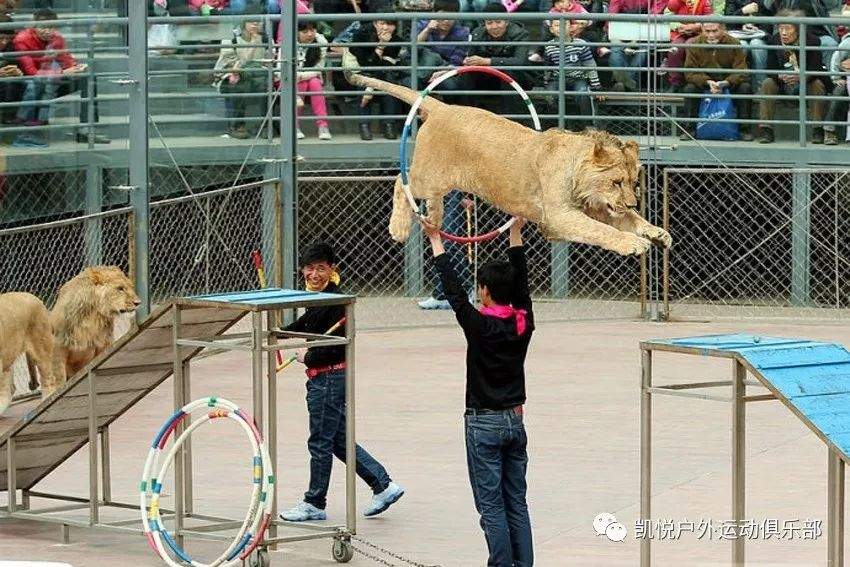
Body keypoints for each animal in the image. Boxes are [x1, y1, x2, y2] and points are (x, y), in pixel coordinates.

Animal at [342, 55, 668, 255]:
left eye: (633, 183)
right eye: (615, 182)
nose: (632, 202)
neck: (578, 173)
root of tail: (442, 107)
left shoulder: (593, 207)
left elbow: (627, 220)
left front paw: (656, 232)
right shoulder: (559, 217)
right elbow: (601, 231)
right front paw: (633, 243)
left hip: (439, 182)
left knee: (430, 200)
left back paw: (433, 219)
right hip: (426, 176)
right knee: (401, 181)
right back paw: (399, 228)